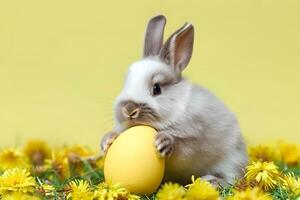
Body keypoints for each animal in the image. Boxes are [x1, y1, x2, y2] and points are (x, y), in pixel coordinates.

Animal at [99, 14, 247, 185]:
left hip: (232, 159)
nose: (129, 109)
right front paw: (107, 141)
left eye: (156, 88)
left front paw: (163, 142)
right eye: (125, 82)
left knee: (232, 177)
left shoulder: (194, 136)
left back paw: (212, 181)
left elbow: (181, 145)